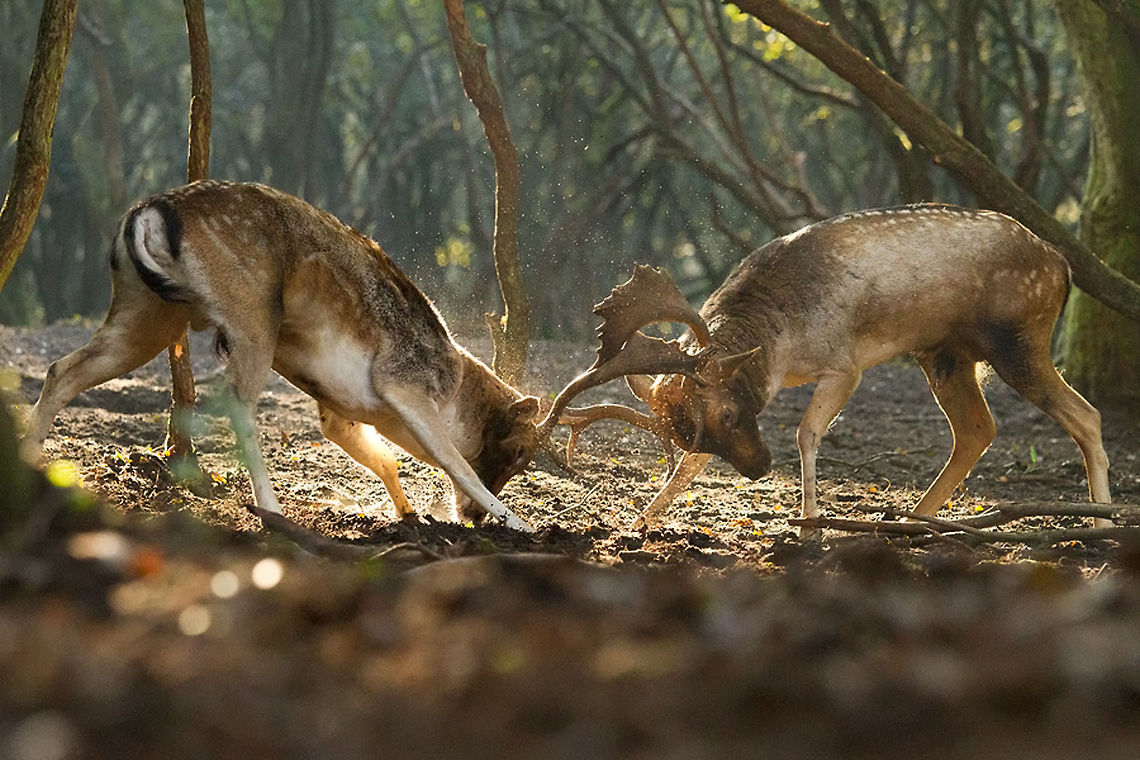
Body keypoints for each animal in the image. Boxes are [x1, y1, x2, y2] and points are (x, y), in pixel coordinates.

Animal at [22, 180, 540, 532]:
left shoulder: (340, 411)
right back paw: (270, 510)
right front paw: (519, 523)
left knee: (62, 369)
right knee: (238, 401)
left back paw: (29, 460)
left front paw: (408, 513)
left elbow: (384, 459)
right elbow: (456, 463)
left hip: (144, 314)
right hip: (250, 317)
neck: (454, 387)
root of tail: (148, 212)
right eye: (520, 452)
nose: (473, 520)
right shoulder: (405, 384)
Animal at [535, 205, 1112, 533]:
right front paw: (641, 519)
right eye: (684, 432)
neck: (781, 346)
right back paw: (916, 519)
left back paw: (1101, 517)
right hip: (946, 353)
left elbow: (807, 433)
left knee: (1086, 414)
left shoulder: (844, 362)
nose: (758, 468)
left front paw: (809, 520)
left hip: (1019, 338)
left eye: (728, 413)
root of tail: (1061, 264)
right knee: (977, 428)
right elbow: (686, 472)